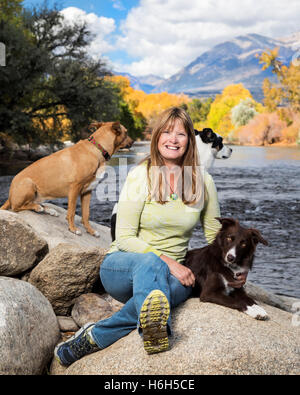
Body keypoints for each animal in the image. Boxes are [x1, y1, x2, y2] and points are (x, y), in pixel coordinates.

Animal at [0, 122, 132, 237]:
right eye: (126, 132)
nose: (133, 141)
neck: (97, 149)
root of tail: (10, 194)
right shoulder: (74, 188)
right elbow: (72, 212)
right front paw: (73, 229)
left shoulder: (87, 192)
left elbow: (86, 215)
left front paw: (91, 231)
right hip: (28, 184)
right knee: (16, 207)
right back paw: (38, 208)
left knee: (32, 203)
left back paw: (48, 210)